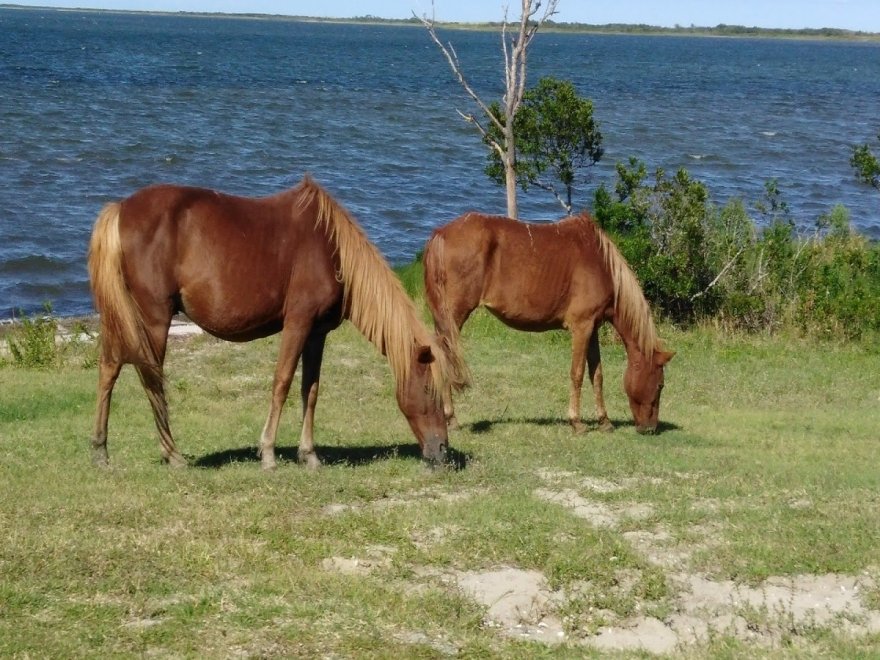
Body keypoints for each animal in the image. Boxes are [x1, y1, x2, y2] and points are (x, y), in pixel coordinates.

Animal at [87, 175, 468, 470]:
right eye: (430, 391)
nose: (442, 452)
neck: (331, 249)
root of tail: (120, 209)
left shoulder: (317, 333)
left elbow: (310, 390)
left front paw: (309, 455)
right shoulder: (298, 323)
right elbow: (282, 382)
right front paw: (268, 453)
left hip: (123, 316)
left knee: (109, 368)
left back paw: (101, 451)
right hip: (154, 316)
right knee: (149, 378)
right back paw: (173, 454)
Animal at [422, 211, 676, 436]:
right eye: (660, 385)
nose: (650, 428)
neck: (601, 264)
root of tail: (441, 234)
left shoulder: (592, 328)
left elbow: (597, 375)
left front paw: (604, 422)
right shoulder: (581, 327)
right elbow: (577, 373)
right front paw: (577, 423)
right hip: (454, 317)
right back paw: (451, 418)